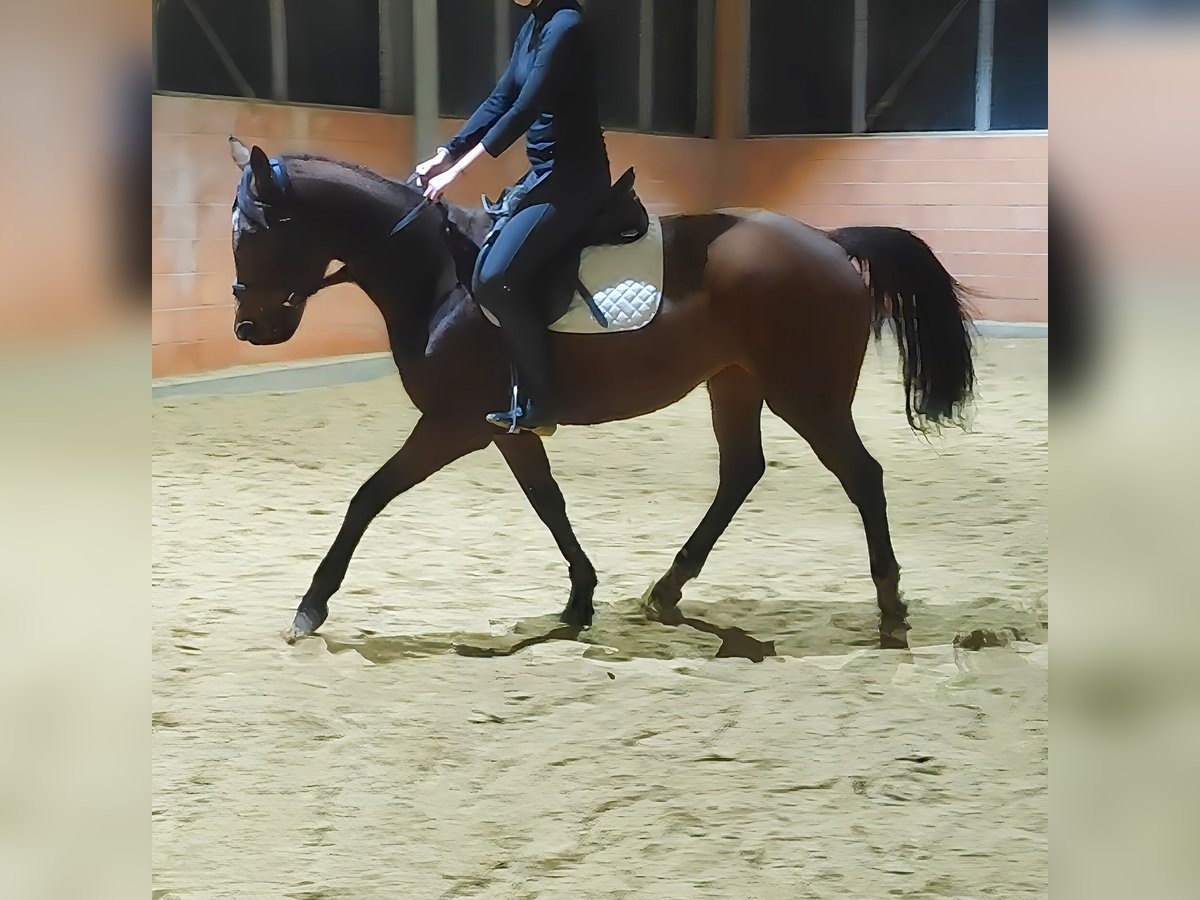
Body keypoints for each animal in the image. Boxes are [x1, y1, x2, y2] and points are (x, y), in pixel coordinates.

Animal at [225, 137, 977, 650]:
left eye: (254, 231)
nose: (249, 328)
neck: (439, 277)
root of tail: (826, 240)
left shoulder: (453, 424)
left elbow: (368, 496)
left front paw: (310, 606)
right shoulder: (504, 427)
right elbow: (548, 503)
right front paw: (580, 599)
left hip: (807, 394)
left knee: (862, 476)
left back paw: (890, 610)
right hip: (734, 384)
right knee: (742, 472)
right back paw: (667, 590)